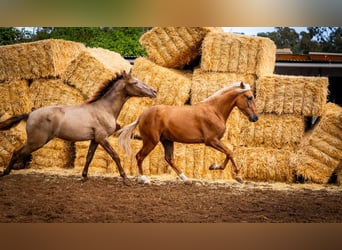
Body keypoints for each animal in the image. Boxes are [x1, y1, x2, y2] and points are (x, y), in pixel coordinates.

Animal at [0, 71, 157, 186]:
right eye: (135, 82)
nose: (154, 91)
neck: (104, 109)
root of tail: (30, 114)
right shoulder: (102, 138)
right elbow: (115, 156)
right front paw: (125, 179)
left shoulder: (95, 139)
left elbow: (89, 157)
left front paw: (84, 176)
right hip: (36, 141)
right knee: (16, 152)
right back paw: (5, 172)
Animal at [117, 81, 260, 184]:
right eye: (249, 97)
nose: (255, 117)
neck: (214, 110)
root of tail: (141, 115)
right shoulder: (211, 140)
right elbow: (230, 152)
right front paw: (238, 177)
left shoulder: (216, 141)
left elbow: (228, 153)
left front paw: (213, 166)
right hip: (151, 141)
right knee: (139, 156)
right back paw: (144, 179)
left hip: (167, 141)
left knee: (169, 159)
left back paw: (186, 179)